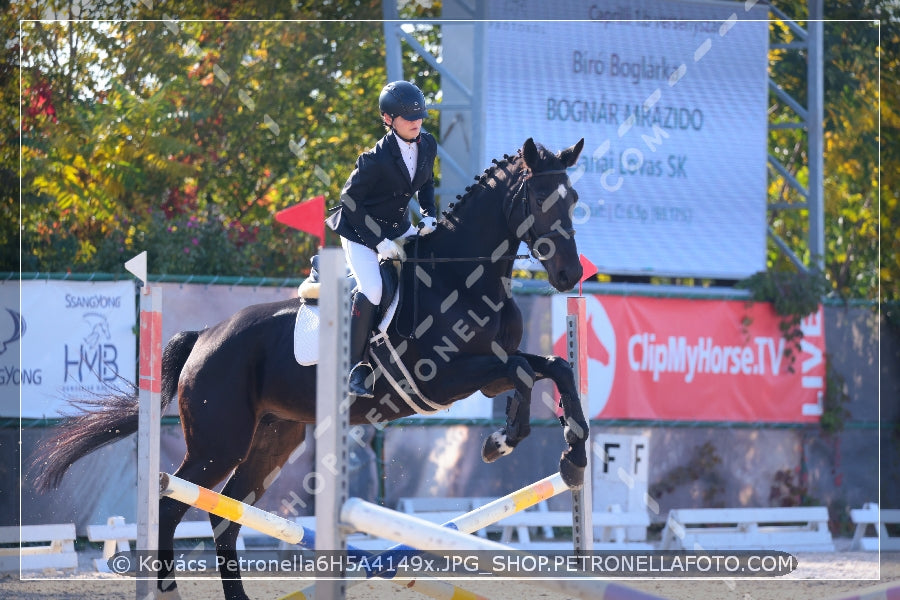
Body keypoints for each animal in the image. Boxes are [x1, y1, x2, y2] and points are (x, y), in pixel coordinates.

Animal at [31, 137, 592, 600]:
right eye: (540, 200)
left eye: (573, 201)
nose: (570, 275)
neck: (463, 276)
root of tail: (205, 336)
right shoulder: (444, 378)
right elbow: (526, 372)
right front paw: (502, 443)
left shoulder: (488, 370)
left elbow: (550, 368)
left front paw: (573, 453)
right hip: (219, 442)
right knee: (174, 503)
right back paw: (167, 590)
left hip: (272, 440)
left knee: (227, 515)